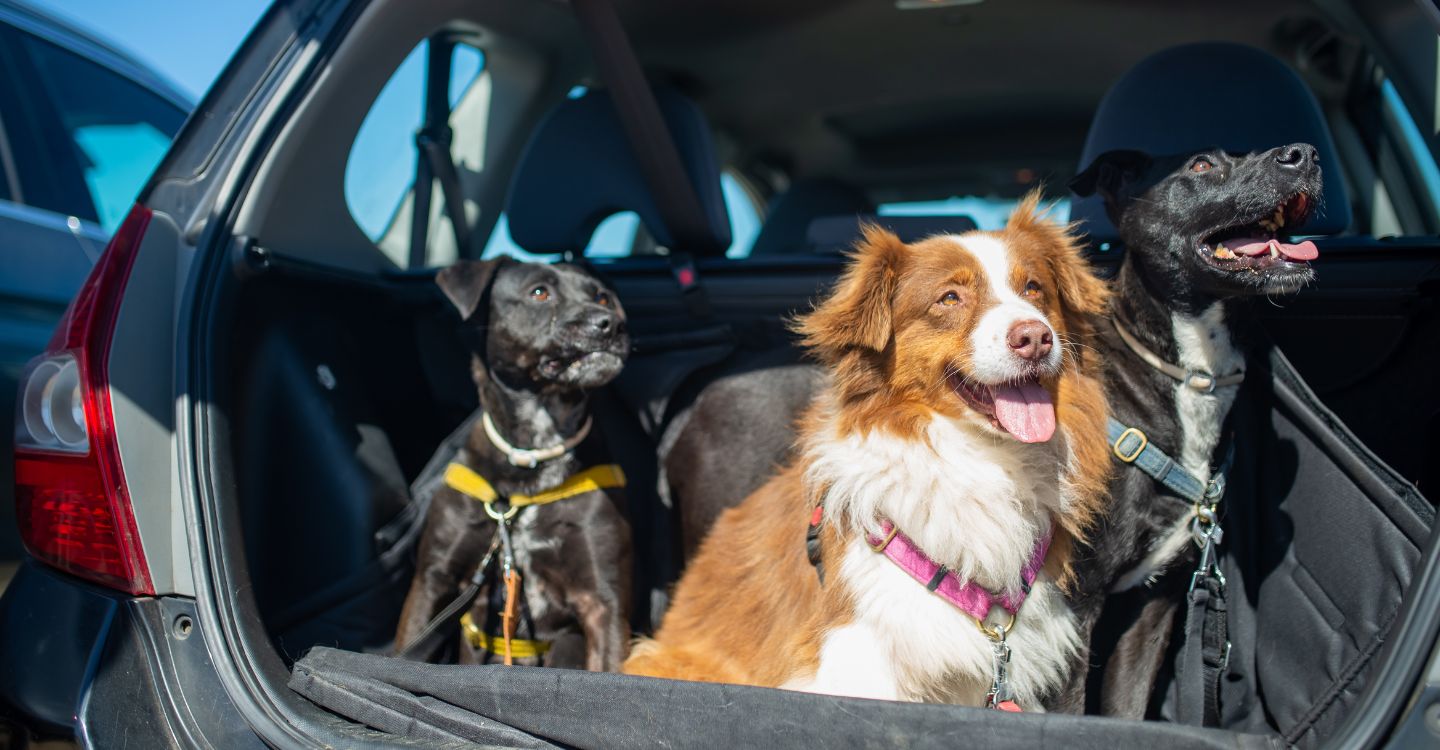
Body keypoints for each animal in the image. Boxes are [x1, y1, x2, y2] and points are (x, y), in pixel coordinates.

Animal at [400, 259, 636, 673]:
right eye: (539, 292)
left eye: (603, 297)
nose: (610, 324)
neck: (534, 455)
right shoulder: (433, 580)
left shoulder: (603, 600)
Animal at [1065, 144, 1319, 714]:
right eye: (1202, 165)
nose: (1305, 154)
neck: (1195, 376)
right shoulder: (1069, 607)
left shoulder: (1156, 603)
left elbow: (1128, 710)